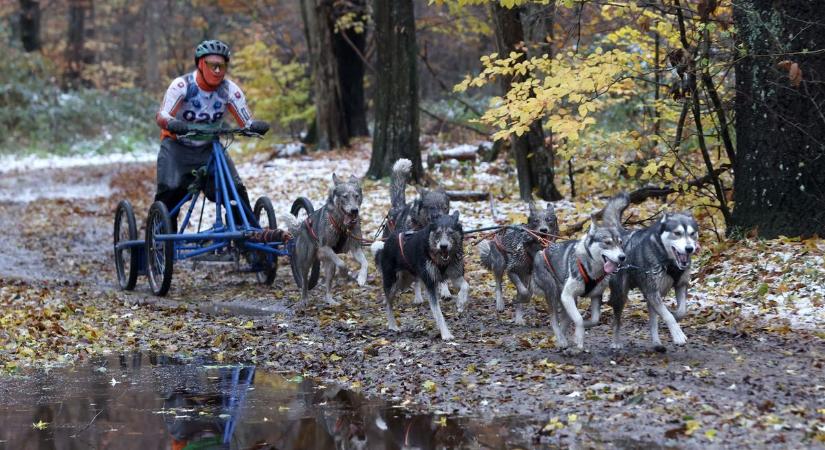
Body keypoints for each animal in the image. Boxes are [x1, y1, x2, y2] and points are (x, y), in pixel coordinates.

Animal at [532, 195, 628, 354]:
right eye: (607, 242)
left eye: (620, 243)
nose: (622, 257)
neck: (592, 269)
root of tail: (542, 250)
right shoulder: (567, 295)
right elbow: (578, 319)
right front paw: (578, 337)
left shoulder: (595, 296)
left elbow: (593, 320)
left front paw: (583, 328)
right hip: (553, 292)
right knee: (554, 320)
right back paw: (561, 340)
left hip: (567, 298)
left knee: (564, 319)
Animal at [608, 193, 700, 348]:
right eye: (677, 233)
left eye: (692, 233)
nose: (689, 248)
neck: (669, 263)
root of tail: (622, 236)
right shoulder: (652, 292)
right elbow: (668, 316)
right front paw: (678, 335)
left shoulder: (681, 285)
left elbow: (682, 311)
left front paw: (676, 315)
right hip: (621, 295)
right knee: (616, 320)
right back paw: (615, 341)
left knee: (653, 322)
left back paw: (657, 343)